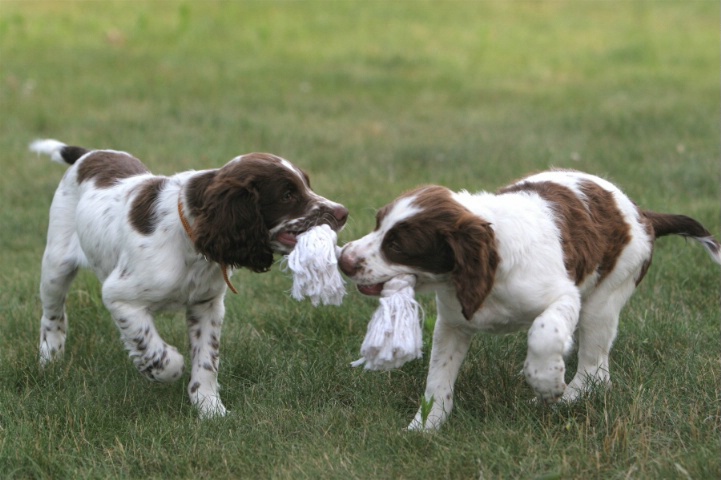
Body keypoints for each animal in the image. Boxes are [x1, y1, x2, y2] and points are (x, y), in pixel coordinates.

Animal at [32, 138, 348, 416]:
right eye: (287, 195)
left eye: (306, 185)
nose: (343, 213)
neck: (191, 245)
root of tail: (89, 154)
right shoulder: (119, 296)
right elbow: (153, 347)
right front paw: (160, 370)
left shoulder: (207, 305)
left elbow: (207, 359)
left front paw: (209, 407)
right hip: (56, 264)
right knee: (53, 315)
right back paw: (50, 360)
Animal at [338, 170, 720, 432]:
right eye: (377, 224)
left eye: (397, 246)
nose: (343, 259)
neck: (491, 262)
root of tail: (641, 213)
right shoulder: (454, 322)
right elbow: (439, 376)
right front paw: (425, 427)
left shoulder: (564, 294)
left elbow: (543, 332)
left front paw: (546, 382)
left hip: (606, 296)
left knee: (596, 369)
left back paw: (565, 398)